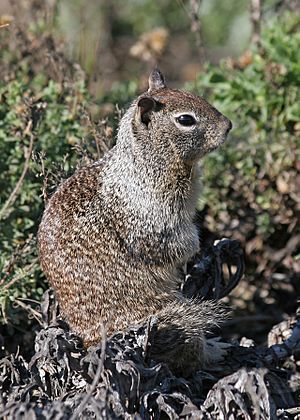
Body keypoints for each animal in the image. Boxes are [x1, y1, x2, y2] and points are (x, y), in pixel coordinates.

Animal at [38, 69, 232, 374]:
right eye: (185, 120)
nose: (228, 126)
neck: (145, 165)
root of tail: (91, 340)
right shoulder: (153, 224)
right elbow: (174, 245)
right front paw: (197, 247)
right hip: (172, 317)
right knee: (189, 354)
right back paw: (214, 351)